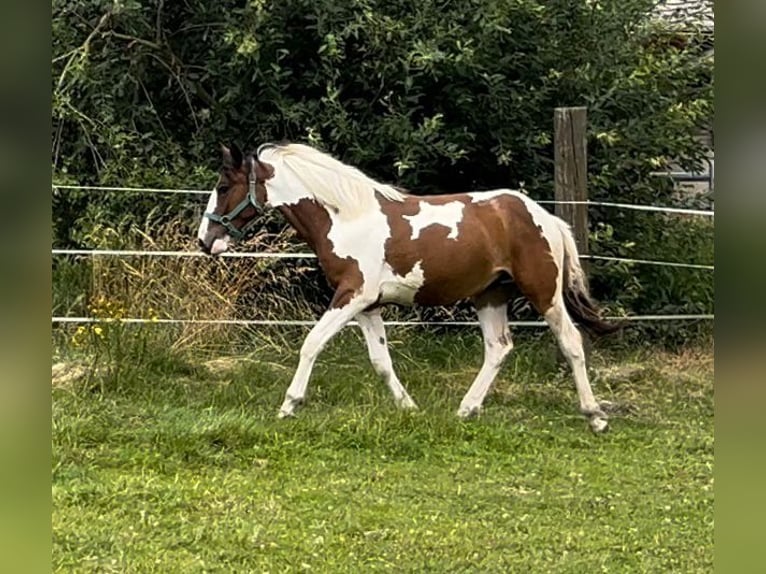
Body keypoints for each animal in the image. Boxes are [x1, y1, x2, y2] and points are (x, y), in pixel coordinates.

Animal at [195, 143, 620, 432]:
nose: (205, 240)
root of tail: (546, 217)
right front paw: (409, 407)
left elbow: (311, 343)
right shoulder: (367, 306)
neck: (345, 216)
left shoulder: (352, 295)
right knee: (499, 348)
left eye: (223, 185)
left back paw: (595, 417)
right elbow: (381, 361)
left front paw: (289, 405)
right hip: (489, 295)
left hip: (543, 292)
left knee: (571, 342)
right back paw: (466, 409)